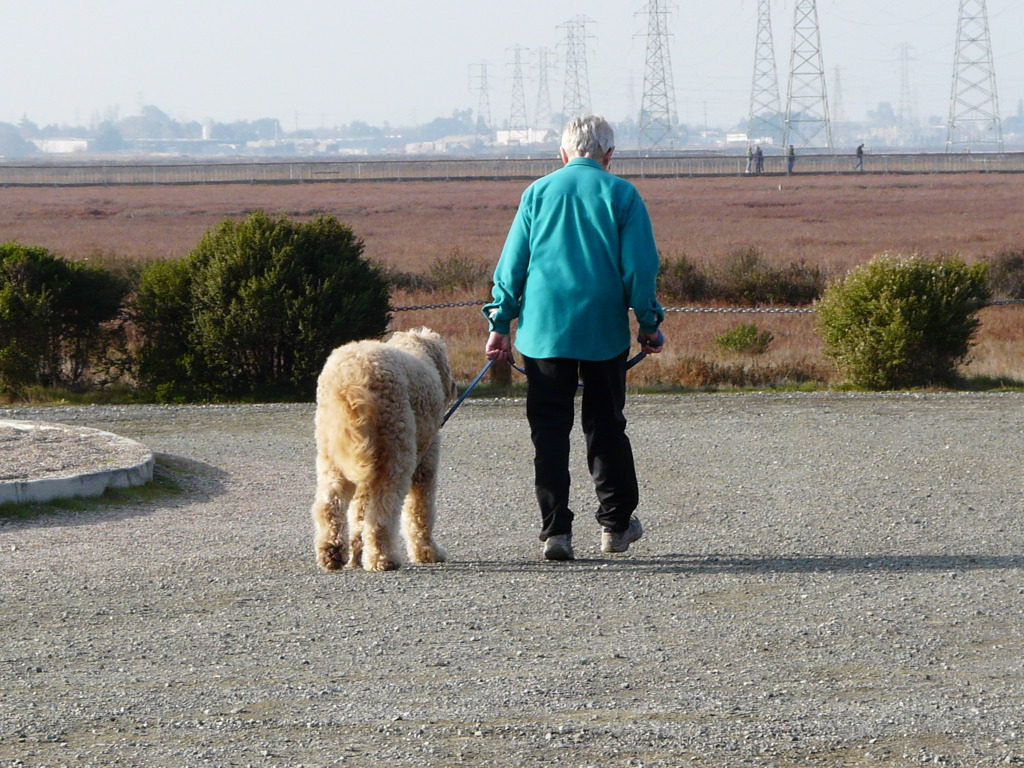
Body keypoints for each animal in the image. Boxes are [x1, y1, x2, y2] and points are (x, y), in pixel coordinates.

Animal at [309, 327, 458, 573]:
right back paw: (383, 558)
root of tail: (351, 378)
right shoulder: (425, 464)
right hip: (396, 455)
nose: (454, 386)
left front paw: (357, 553)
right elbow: (420, 512)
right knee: (382, 514)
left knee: (329, 505)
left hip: (335, 455)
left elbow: (360, 513)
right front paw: (427, 553)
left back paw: (332, 552)